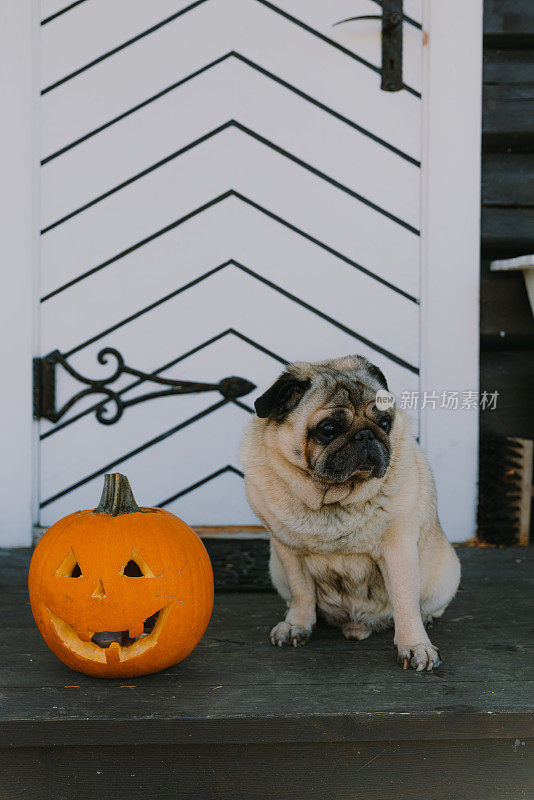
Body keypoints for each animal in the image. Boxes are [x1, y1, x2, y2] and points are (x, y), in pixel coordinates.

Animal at [241, 354, 462, 668]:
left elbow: (405, 601)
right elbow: (302, 592)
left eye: (385, 422)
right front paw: (297, 624)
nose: (367, 435)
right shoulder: (289, 552)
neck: (333, 498)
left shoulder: (399, 549)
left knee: (425, 604)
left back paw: (427, 618)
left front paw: (415, 645)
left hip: (446, 575)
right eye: (328, 429)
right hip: (277, 570)